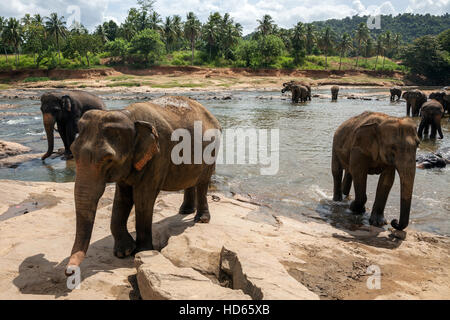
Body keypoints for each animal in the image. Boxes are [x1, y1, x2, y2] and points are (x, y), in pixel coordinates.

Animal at [64, 95, 221, 276]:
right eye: (73, 152)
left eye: (108, 159)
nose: (69, 272)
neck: (129, 115)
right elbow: (122, 198)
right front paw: (123, 252)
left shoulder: (159, 154)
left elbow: (143, 197)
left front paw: (142, 252)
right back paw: (185, 211)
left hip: (211, 151)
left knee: (203, 182)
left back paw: (201, 219)